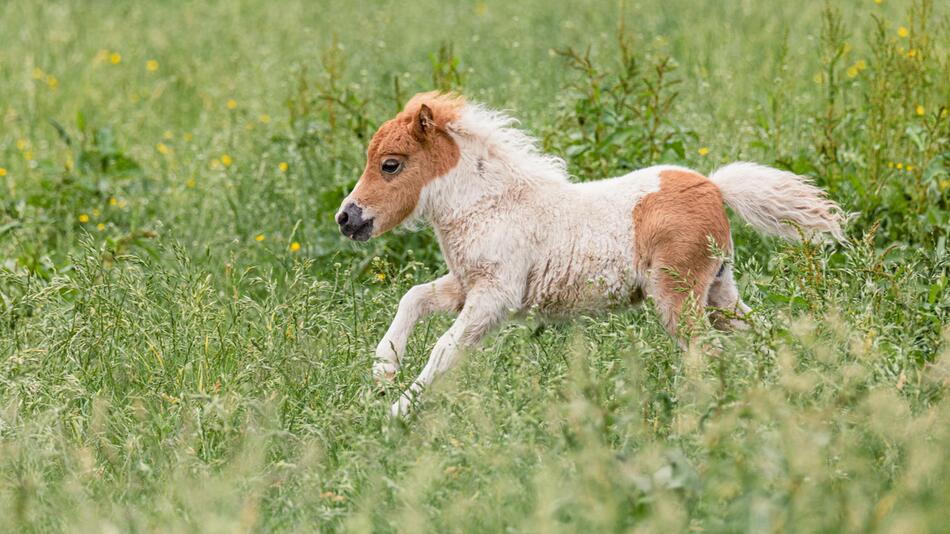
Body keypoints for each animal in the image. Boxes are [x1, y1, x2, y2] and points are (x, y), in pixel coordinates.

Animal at [338, 92, 844, 418]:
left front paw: (396, 413)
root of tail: (715, 187)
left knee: (708, 351)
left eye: (390, 165)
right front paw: (383, 370)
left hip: (678, 297)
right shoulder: (465, 285)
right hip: (720, 290)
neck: (491, 205)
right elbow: (413, 297)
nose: (346, 217)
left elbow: (445, 348)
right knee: (759, 336)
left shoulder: (495, 297)